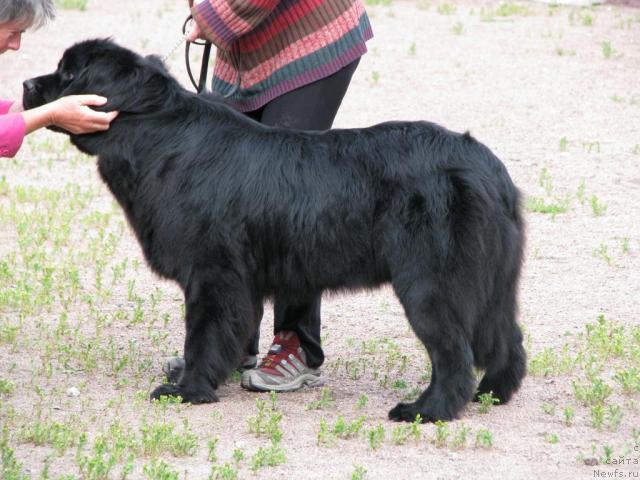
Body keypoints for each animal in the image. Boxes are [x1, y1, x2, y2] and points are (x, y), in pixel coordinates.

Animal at [25, 39, 524, 422]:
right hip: (492, 282)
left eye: (69, 73)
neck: (156, 133)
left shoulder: (213, 273)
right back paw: (493, 393)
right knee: (507, 338)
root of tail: (487, 167)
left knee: (454, 354)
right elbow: (228, 331)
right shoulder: (238, 281)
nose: (27, 84)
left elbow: (202, 333)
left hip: (430, 283)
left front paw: (188, 389)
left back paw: (426, 410)